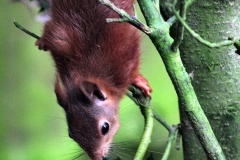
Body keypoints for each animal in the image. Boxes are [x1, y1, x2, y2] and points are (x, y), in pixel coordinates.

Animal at [35, 0, 152, 159]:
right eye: (71, 134)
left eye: (105, 128)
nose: (97, 157)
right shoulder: (59, 41)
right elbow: (50, 31)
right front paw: (42, 41)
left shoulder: (125, 58)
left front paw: (139, 81)